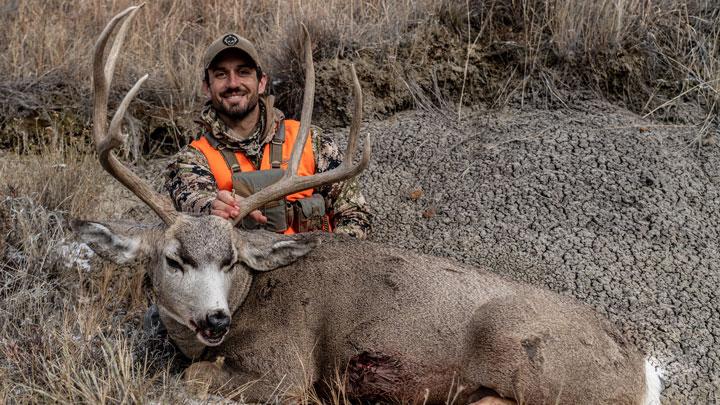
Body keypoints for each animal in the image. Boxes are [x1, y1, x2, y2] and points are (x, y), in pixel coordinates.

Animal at [70, 5, 660, 400]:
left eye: (232, 260)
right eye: (173, 259)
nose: (216, 320)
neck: (251, 299)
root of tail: (645, 370)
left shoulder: (286, 366)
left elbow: (192, 377)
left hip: (531, 358)